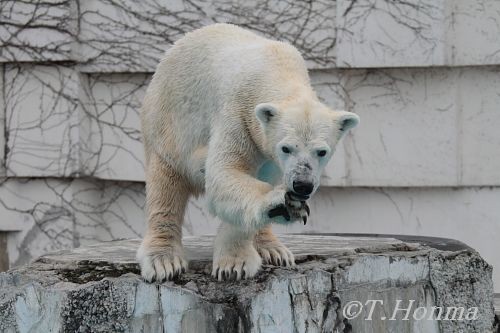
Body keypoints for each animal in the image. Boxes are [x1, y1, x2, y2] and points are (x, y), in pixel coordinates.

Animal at [135, 24, 358, 280]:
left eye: (321, 151)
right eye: (286, 148)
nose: (302, 185)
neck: (276, 68)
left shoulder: (268, 153)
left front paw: (235, 263)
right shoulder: (239, 116)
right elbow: (225, 173)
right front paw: (281, 202)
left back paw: (273, 249)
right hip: (169, 125)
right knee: (165, 187)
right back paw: (163, 260)